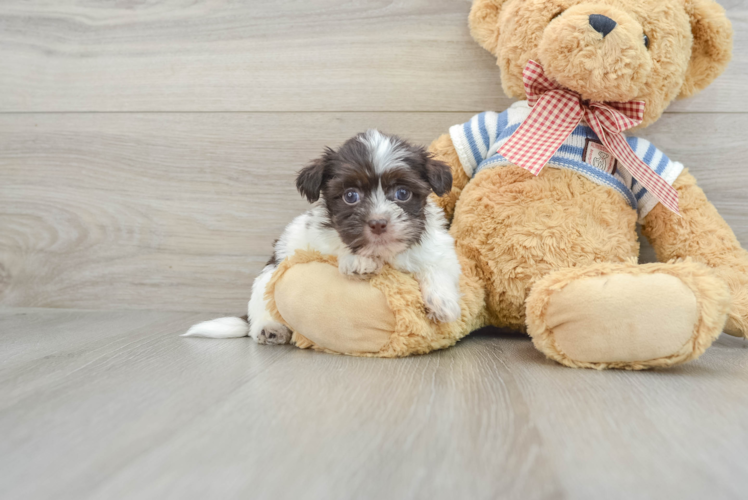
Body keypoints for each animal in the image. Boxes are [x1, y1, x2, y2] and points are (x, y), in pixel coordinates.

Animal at [183, 130, 458, 344]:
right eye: (350, 196)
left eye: (402, 193)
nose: (378, 223)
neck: (384, 253)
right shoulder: (314, 240)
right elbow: (336, 245)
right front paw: (357, 260)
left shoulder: (438, 247)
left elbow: (438, 266)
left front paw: (443, 302)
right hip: (267, 277)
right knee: (260, 309)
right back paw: (270, 328)